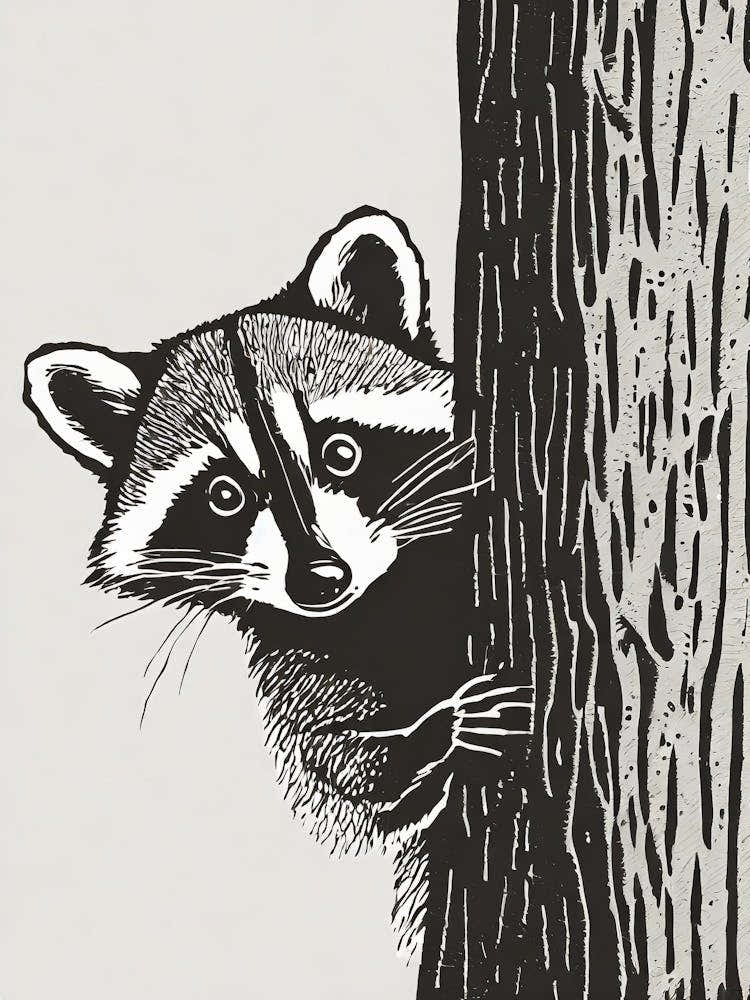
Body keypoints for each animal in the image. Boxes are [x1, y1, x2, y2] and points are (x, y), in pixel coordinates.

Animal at [24, 208, 531, 933]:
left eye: (341, 451)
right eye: (225, 494)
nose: (320, 579)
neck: (377, 606)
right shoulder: (296, 654)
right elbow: (333, 760)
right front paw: (425, 740)